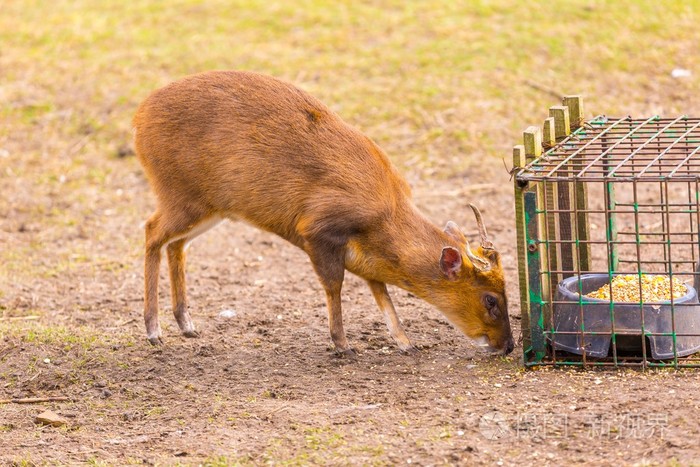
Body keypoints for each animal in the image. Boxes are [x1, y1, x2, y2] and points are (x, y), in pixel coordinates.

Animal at [133, 72, 516, 358]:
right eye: (491, 299)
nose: (509, 346)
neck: (386, 214)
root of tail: (138, 117)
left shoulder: (366, 258)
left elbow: (383, 295)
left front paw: (405, 342)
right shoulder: (317, 229)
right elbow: (336, 286)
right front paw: (343, 344)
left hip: (209, 207)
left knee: (175, 245)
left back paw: (186, 324)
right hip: (180, 195)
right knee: (151, 231)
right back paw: (154, 330)